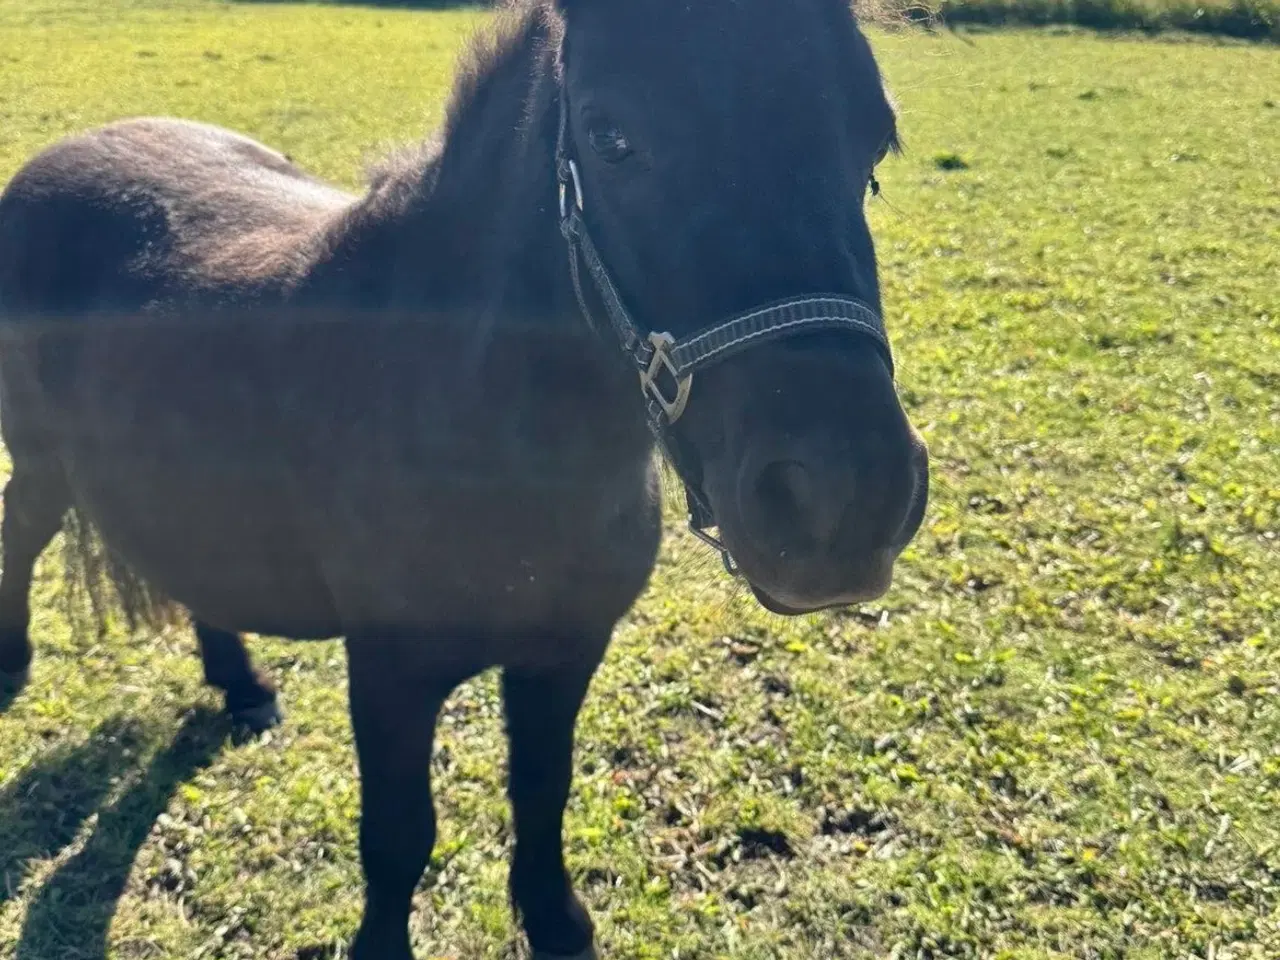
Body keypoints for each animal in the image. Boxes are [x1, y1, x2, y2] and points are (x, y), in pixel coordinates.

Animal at [0, 0, 929, 956]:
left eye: (875, 140)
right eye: (610, 136)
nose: (842, 505)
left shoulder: (565, 653)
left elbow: (542, 792)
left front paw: (556, 923)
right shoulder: (388, 675)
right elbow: (398, 838)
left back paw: (242, 687)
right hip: (41, 460)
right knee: (20, 528)